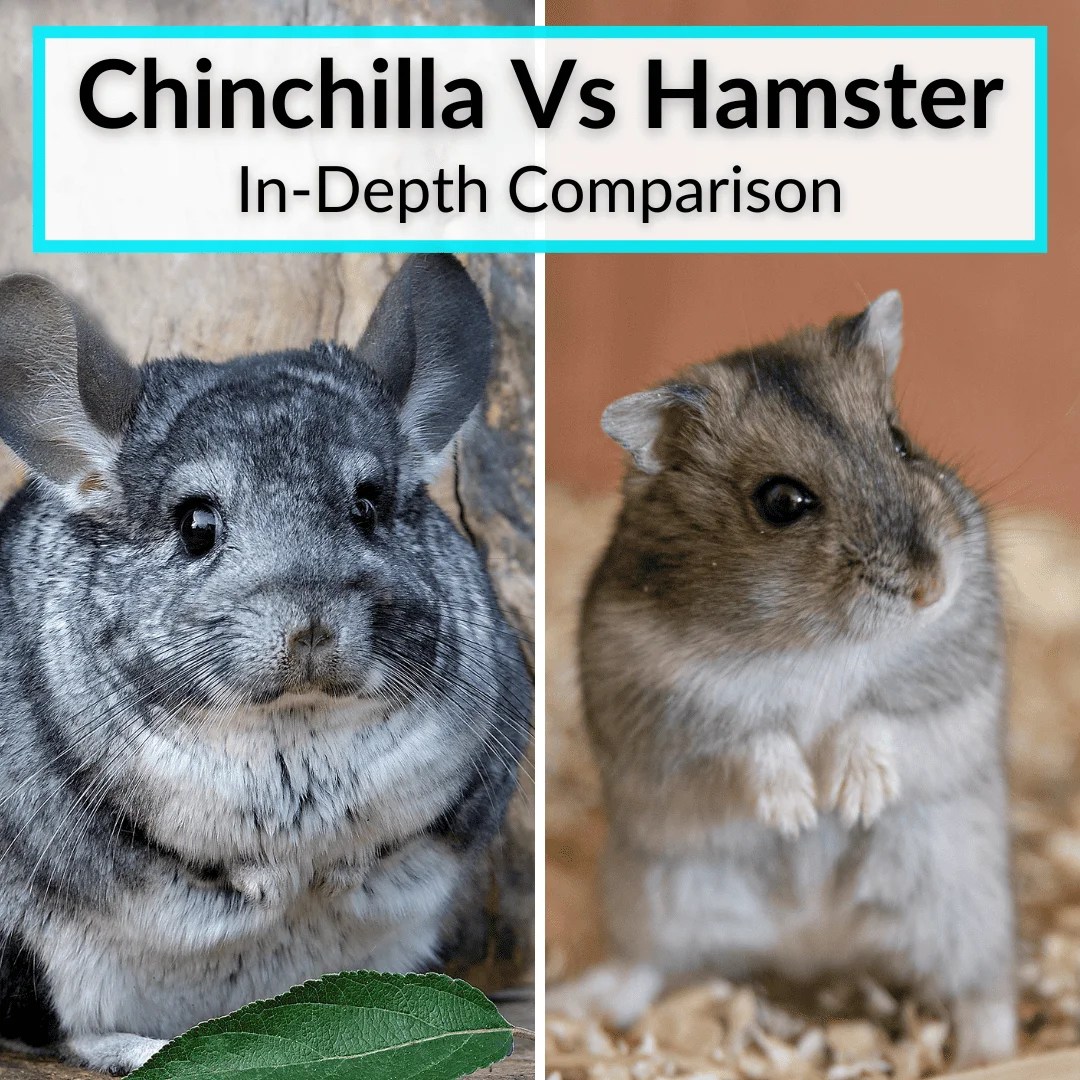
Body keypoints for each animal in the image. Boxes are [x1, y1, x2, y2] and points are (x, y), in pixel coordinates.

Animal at [0, 255, 531, 1074]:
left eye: (367, 504)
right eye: (196, 524)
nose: (310, 622)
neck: (295, 727)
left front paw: (337, 872)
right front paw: (275, 881)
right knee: (71, 1031)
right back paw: (144, 1046)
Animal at [551, 292, 1015, 1068]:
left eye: (900, 441)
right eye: (781, 502)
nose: (932, 587)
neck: (816, 642)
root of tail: (811, 945)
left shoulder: (953, 674)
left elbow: (875, 716)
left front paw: (851, 801)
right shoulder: (668, 706)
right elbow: (754, 740)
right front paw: (799, 812)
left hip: (964, 899)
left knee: (983, 990)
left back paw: (987, 1057)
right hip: (656, 895)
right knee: (645, 966)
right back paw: (579, 1003)